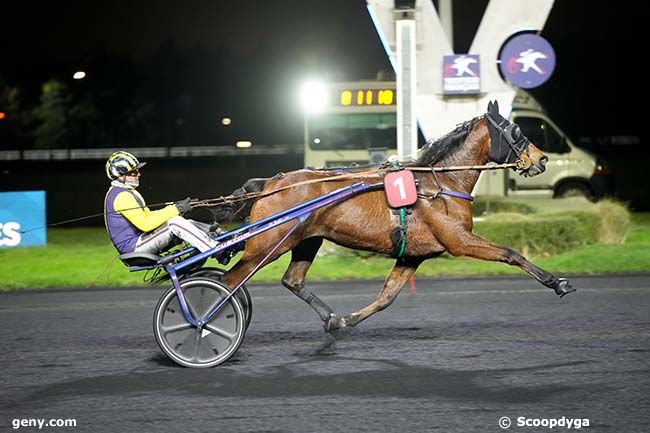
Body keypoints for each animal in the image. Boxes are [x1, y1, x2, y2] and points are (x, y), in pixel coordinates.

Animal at [220, 101, 576, 330]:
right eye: (515, 130)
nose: (542, 159)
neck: (440, 184)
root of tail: (269, 183)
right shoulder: (460, 241)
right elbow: (511, 253)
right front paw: (558, 282)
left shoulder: (411, 256)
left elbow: (386, 298)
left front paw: (344, 321)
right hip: (268, 245)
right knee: (229, 282)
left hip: (306, 240)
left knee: (291, 280)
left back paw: (327, 316)